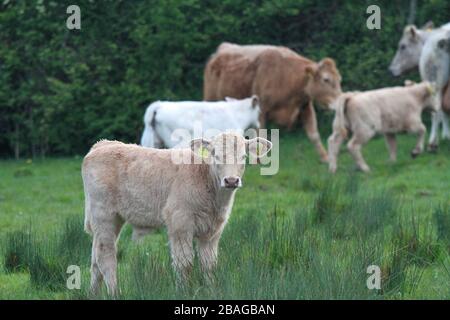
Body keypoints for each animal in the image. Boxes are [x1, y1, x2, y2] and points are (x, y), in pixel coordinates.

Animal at [82, 132, 272, 296]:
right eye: (215, 154)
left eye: (243, 156)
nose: (231, 181)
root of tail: (103, 144)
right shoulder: (180, 223)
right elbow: (184, 264)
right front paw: (184, 292)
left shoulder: (213, 232)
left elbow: (209, 265)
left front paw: (211, 291)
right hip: (104, 214)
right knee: (105, 256)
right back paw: (115, 293)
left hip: (112, 219)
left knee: (95, 259)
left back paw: (93, 294)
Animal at [203, 42, 342, 162]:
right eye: (326, 79)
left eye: (339, 79)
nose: (339, 101)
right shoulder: (261, 110)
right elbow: (261, 135)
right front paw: (260, 159)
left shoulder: (305, 107)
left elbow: (314, 134)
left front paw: (325, 157)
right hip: (210, 98)